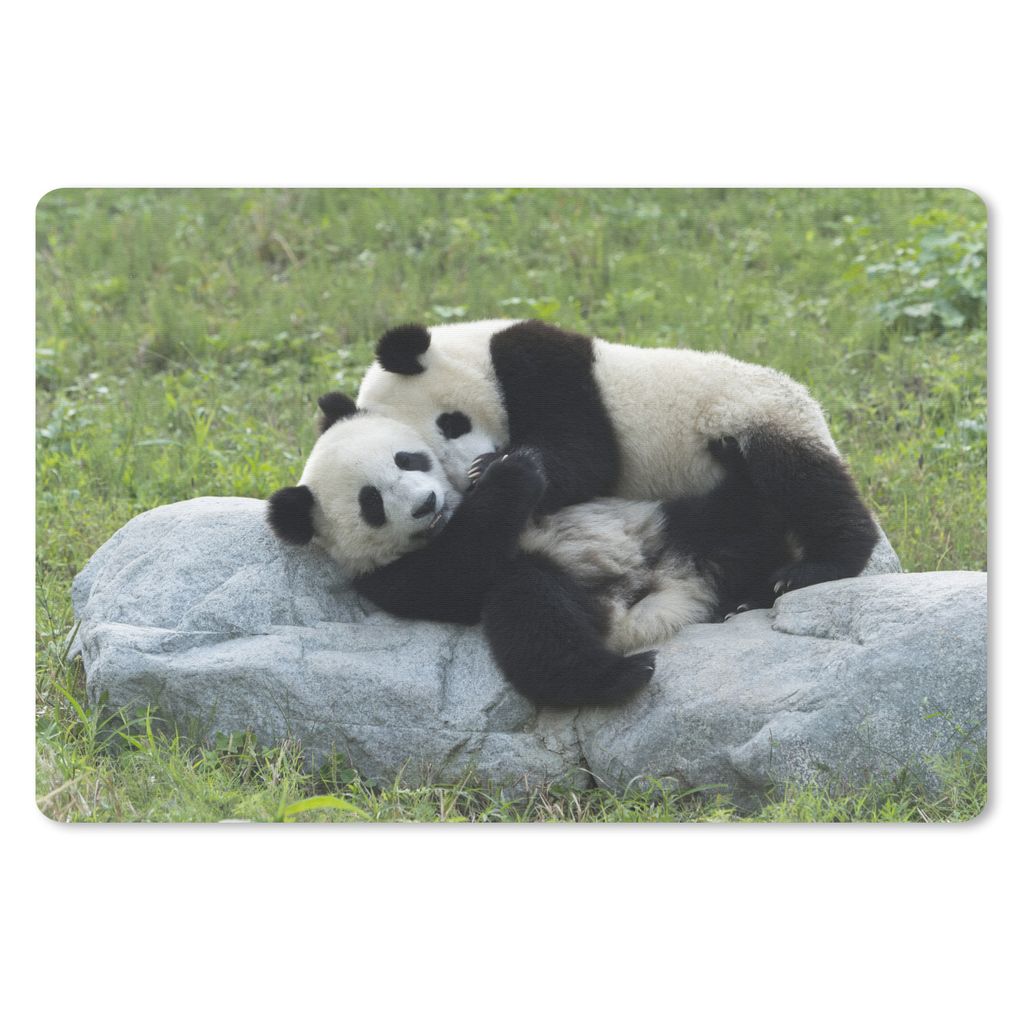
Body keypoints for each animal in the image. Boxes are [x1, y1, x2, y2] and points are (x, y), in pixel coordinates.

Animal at [267, 393, 793, 707]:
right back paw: (620, 675)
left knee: (733, 520)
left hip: (666, 528)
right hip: (574, 594)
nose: (425, 504)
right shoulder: (391, 576)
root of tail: (668, 598)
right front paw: (513, 472)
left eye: (407, 460)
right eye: (372, 503)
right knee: (534, 614)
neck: (452, 516)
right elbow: (455, 569)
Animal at [356, 318, 879, 595]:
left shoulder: (543, 365)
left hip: (756, 416)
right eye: (427, 461)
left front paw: (497, 468)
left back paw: (816, 567)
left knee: (805, 483)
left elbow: (588, 452)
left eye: (452, 422)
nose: (470, 470)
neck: (476, 350)